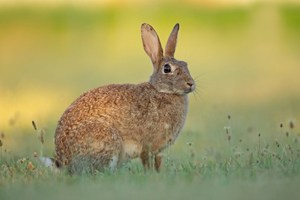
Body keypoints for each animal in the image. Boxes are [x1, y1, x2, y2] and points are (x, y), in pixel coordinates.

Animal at [54, 23, 196, 173]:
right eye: (167, 69)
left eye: (185, 64)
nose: (191, 83)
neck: (162, 91)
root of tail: (63, 161)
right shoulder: (148, 146)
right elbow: (147, 161)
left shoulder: (158, 151)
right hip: (106, 139)